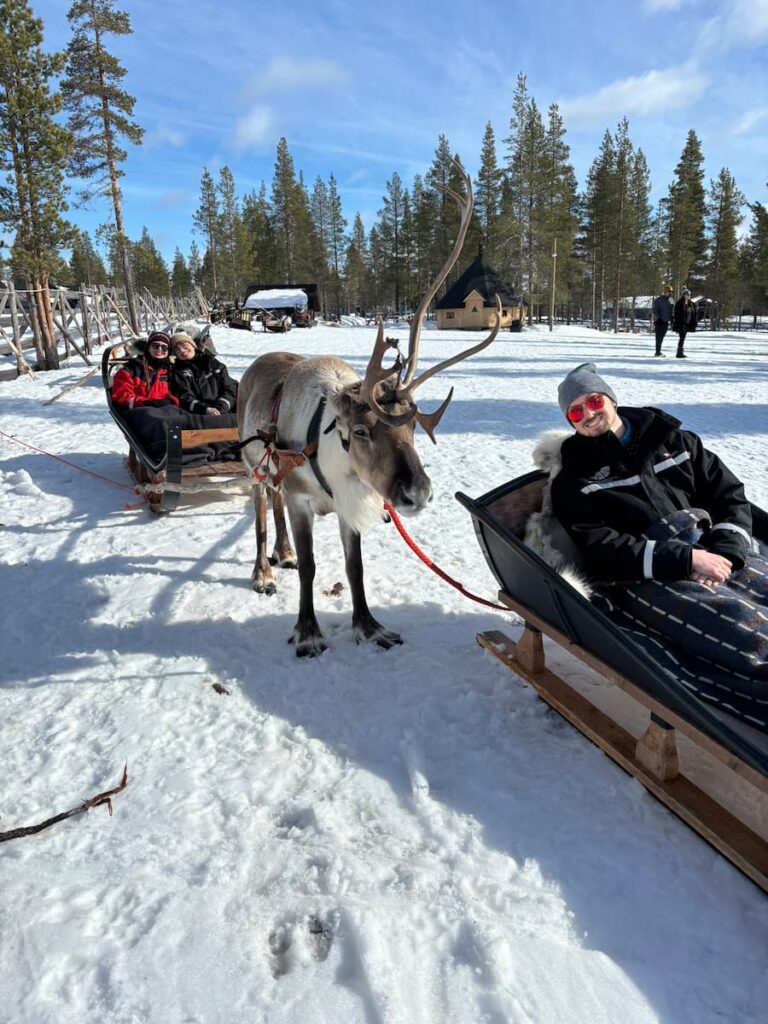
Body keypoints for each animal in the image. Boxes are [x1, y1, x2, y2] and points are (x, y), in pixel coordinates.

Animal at [236, 162, 501, 656]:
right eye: (361, 431)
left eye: (413, 431)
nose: (418, 494)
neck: (328, 455)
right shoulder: (302, 499)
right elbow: (311, 567)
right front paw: (308, 631)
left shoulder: (347, 504)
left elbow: (354, 567)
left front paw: (369, 625)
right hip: (252, 465)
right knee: (263, 508)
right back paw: (263, 571)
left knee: (274, 509)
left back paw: (281, 553)